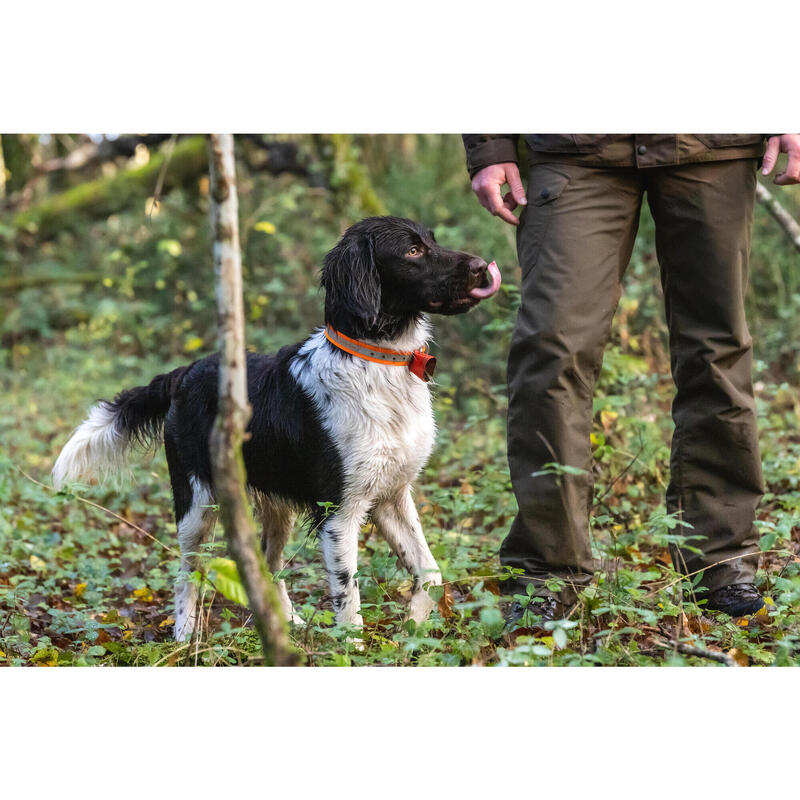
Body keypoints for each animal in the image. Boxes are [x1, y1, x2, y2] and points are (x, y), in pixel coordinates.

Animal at [51, 216, 500, 640]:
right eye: (412, 251)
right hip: (198, 503)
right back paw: (184, 635)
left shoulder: (391, 494)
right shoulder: (338, 511)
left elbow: (430, 573)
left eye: (432, 240)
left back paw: (288, 624)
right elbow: (348, 594)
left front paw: (413, 626)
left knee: (267, 565)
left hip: (275, 505)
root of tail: (185, 372)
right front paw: (354, 647)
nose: (482, 266)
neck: (377, 363)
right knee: (186, 572)